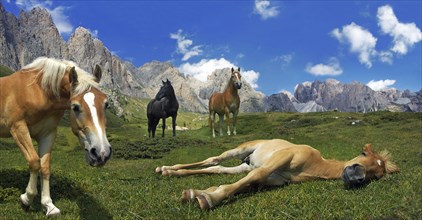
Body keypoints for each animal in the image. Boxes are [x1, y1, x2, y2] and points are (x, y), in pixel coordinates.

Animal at [0, 55, 112, 216]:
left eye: (106, 104)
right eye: (75, 107)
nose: (101, 153)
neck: (38, 91)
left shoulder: (48, 134)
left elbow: (45, 167)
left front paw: (48, 205)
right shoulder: (18, 127)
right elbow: (34, 162)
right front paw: (26, 199)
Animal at [157, 139, 400, 210]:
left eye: (376, 175)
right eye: (363, 154)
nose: (357, 177)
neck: (314, 164)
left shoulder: (272, 180)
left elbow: (247, 184)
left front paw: (195, 193)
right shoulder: (279, 160)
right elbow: (253, 178)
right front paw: (209, 198)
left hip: (244, 165)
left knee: (216, 168)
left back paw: (170, 171)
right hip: (241, 150)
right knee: (214, 159)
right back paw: (166, 168)